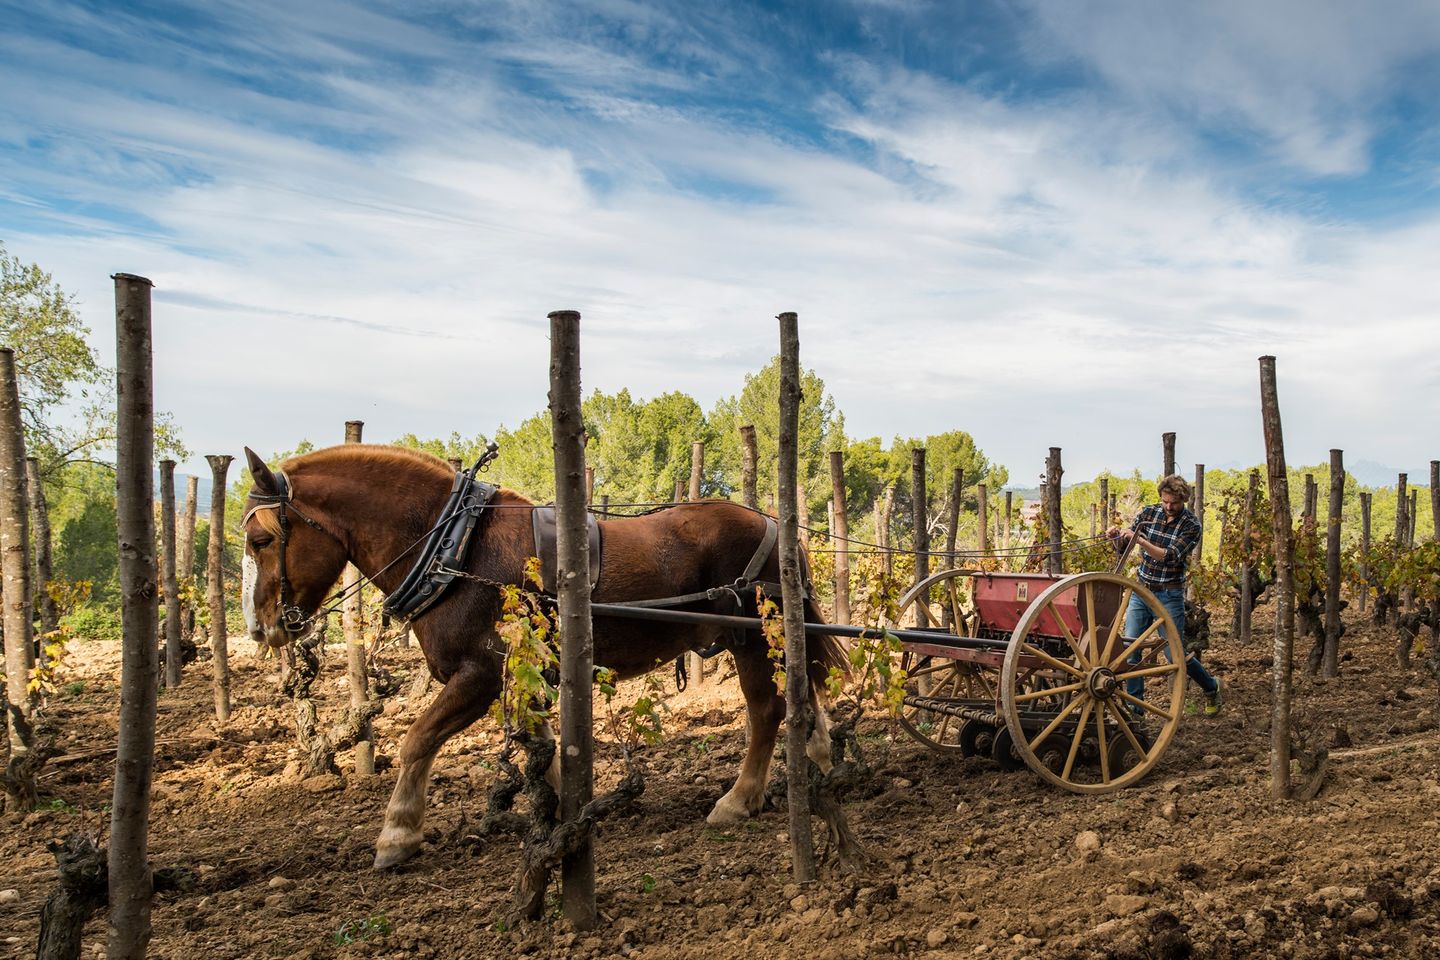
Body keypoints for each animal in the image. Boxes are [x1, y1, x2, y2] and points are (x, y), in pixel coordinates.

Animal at [236, 443, 840, 869]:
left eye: (260, 541)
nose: (260, 628)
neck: (454, 547)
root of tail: (774, 523)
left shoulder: (480, 674)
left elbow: (417, 740)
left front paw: (397, 835)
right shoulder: (524, 677)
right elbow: (545, 750)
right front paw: (562, 819)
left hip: (754, 637)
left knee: (767, 710)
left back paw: (739, 800)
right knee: (801, 695)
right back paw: (821, 760)